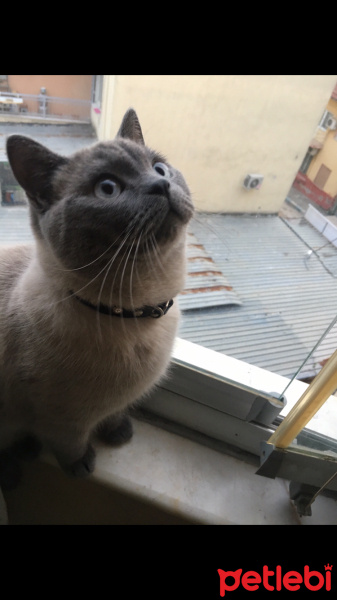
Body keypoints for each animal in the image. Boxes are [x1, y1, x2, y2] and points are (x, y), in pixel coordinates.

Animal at [0, 108, 192, 488]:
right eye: (108, 188)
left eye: (159, 168)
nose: (161, 185)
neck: (134, 313)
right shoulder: (59, 417)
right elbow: (70, 443)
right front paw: (80, 465)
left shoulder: (114, 401)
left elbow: (115, 413)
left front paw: (118, 433)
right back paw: (13, 470)